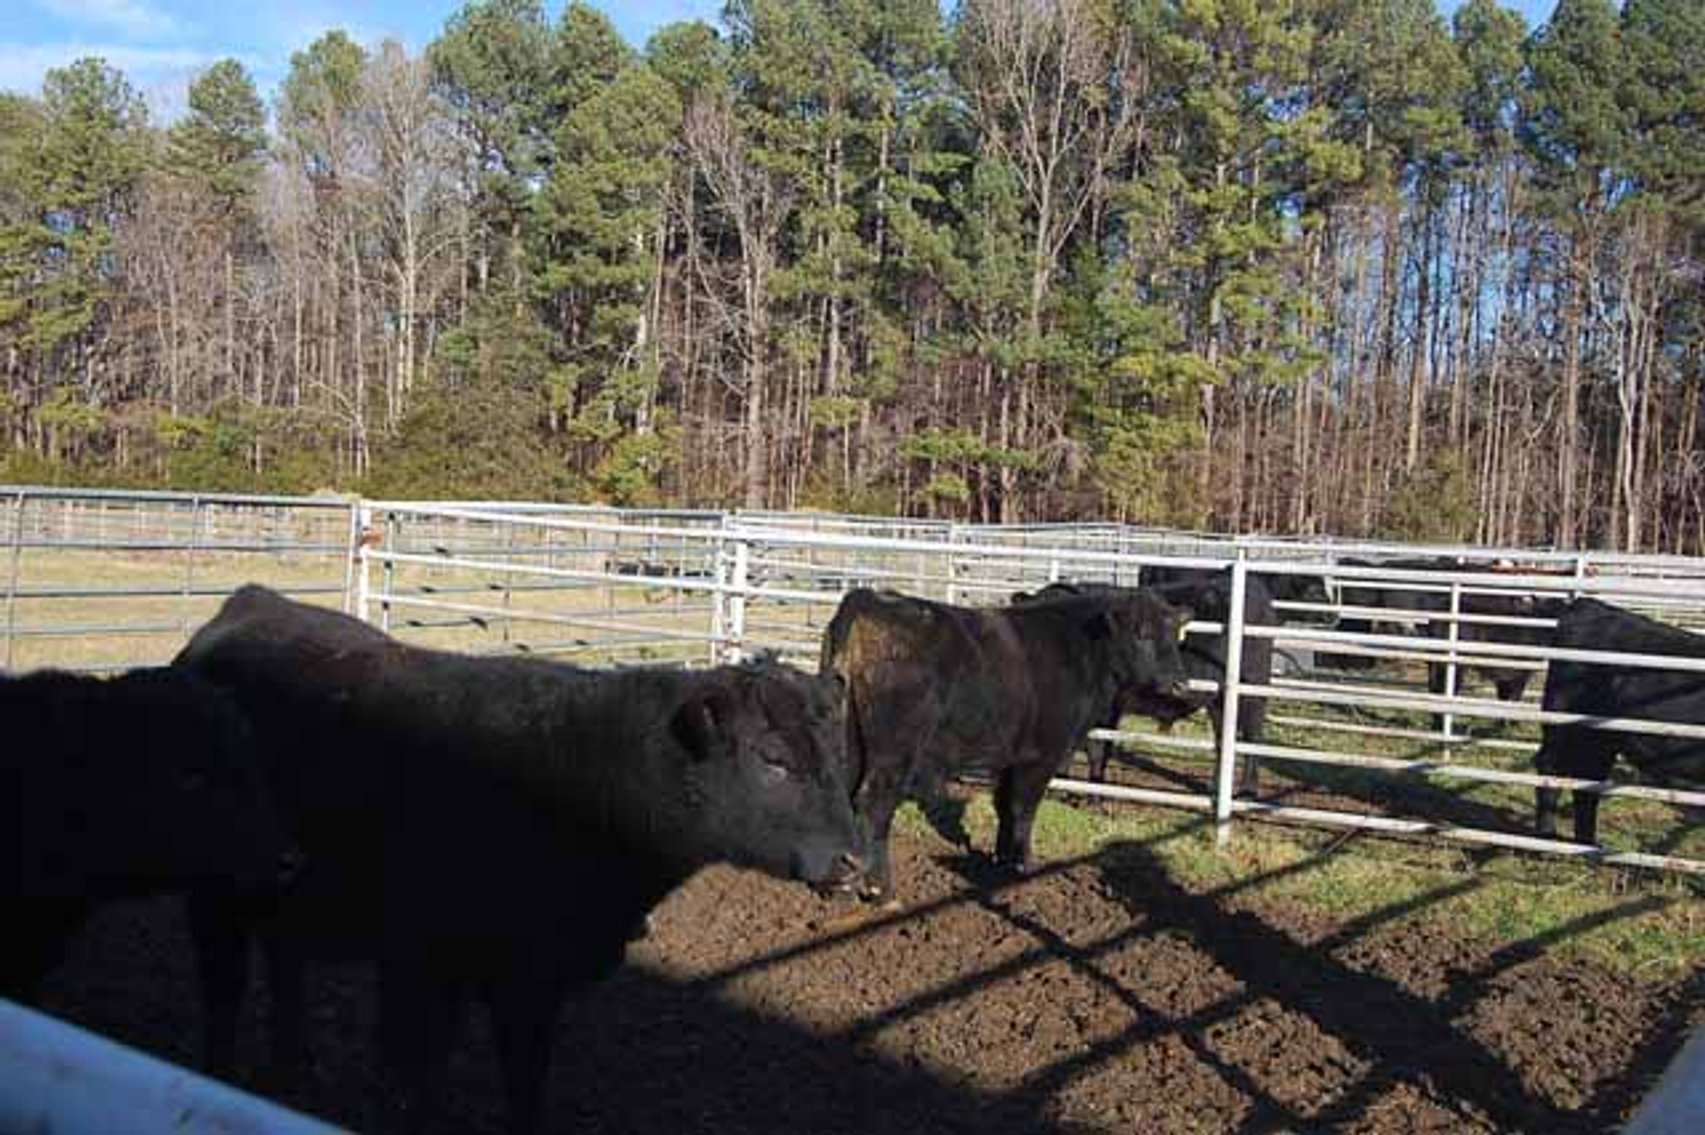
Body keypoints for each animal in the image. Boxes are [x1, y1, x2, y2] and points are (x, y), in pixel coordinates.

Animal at [174, 585, 864, 1135]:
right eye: (773, 759)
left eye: (841, 751)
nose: (854, 859)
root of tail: (250, 603)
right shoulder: (421, 966)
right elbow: (413, 1080)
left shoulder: (530, 980)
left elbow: (522, 1083)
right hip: (213, 896)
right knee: (223, 992)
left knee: (284, 967)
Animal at [821, 586, 1190, 902]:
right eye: (1142, 633)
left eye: (1175, 635)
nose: (1179, 684)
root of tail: (870, 598)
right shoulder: (1042, 756)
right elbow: (1023, 809)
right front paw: (1024, 865)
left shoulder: (1009, 757)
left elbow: (1003, 805)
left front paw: (1000, 859)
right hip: (893, 752)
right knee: (874, 807)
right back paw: (880, 890)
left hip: (851, 743)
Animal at [1017, 572, 1277, 795]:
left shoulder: (1108, 709)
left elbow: (1098, 749)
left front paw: (1093, 793)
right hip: (1218, 700)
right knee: (1223, 738)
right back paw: (1215, 789)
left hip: (1253, 689)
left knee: (1253, 736)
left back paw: (1248, 790)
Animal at [1532, 598, 1705, 845]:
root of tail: (1588, 604)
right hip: (1561, 722)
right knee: (1550, 768)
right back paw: (1546, 834)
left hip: (1600, 739)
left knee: (1587, 782)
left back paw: (1588, 844)